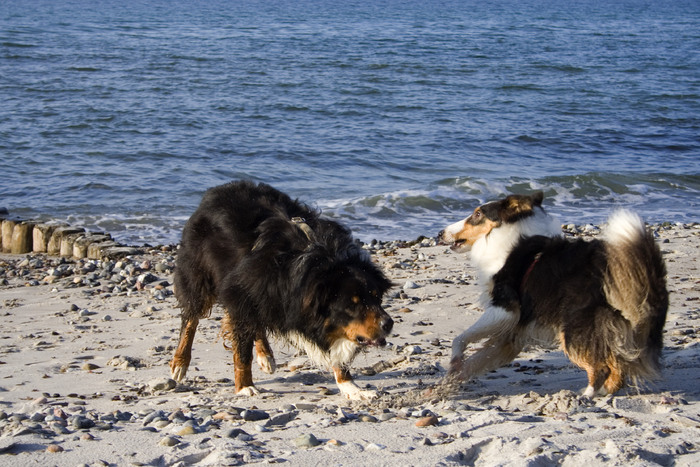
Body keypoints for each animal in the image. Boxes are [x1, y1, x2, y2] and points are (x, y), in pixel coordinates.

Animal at [171, 181, 394, 400]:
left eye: (376, 298)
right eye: (351, 305)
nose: (389, 324)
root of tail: (216, 191)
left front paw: (351, 387)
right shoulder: (243, 291)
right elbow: (242, 351)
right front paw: (244, 386)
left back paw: (266, 356)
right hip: (201, 275)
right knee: (191, 318)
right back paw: (180, 362)